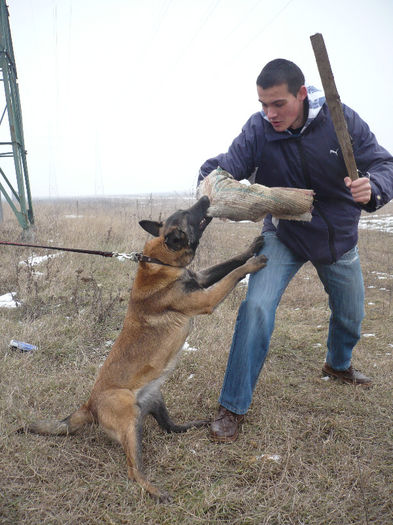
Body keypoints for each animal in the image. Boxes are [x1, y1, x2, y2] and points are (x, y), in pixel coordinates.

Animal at [20, 195, 266, 500]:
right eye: (188, 213)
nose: (205, 198)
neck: (162, 260)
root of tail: (89, 405)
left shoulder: (200, 278)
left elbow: (229, 263)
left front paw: (252, 248)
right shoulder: (206, 299)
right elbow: (233, 275)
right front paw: (254, 263)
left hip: (156, 399)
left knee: (171, 429)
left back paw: (195, 425)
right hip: (128, 417)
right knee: (132, 469)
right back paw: (154, 490)